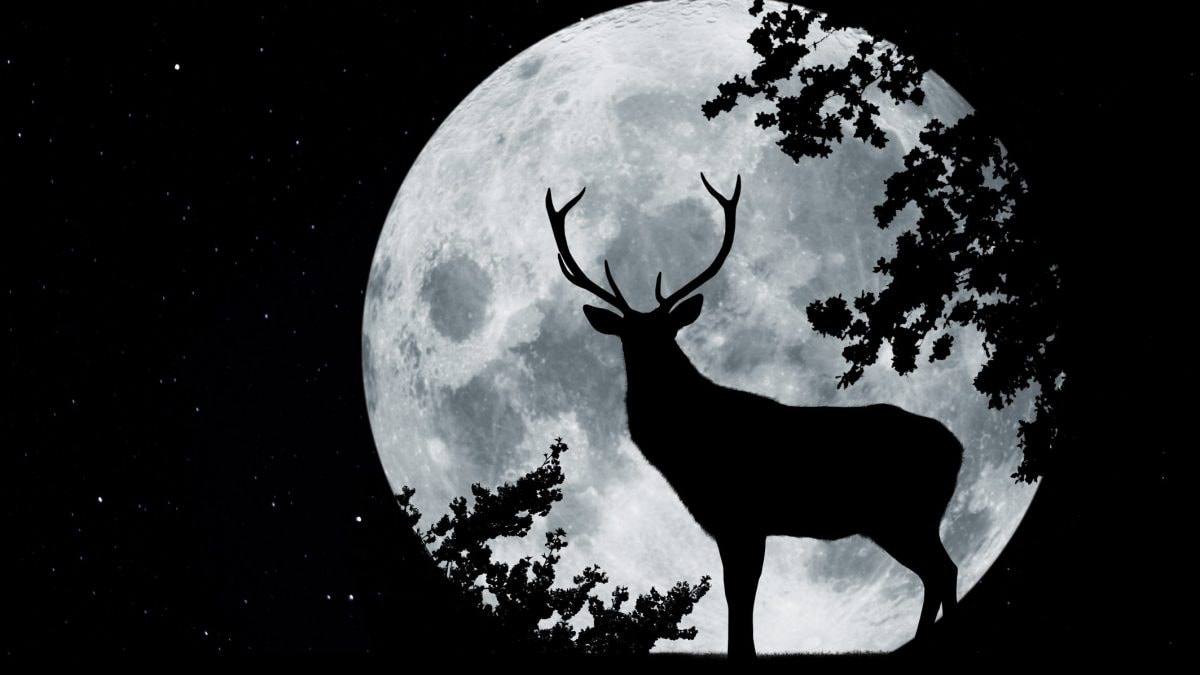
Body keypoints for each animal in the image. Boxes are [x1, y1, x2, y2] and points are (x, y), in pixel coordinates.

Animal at [545, 174, 964, 658]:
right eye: (627, 336)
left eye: (668, 331)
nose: (649, 361)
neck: (686, 447)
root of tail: (958, 449)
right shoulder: (732, 522)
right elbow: (738, 593)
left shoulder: (742, 515)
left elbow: (739, 594)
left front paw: (742, 652)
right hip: (904, 519)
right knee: (939, 571)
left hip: (904, 514)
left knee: (943, 570)